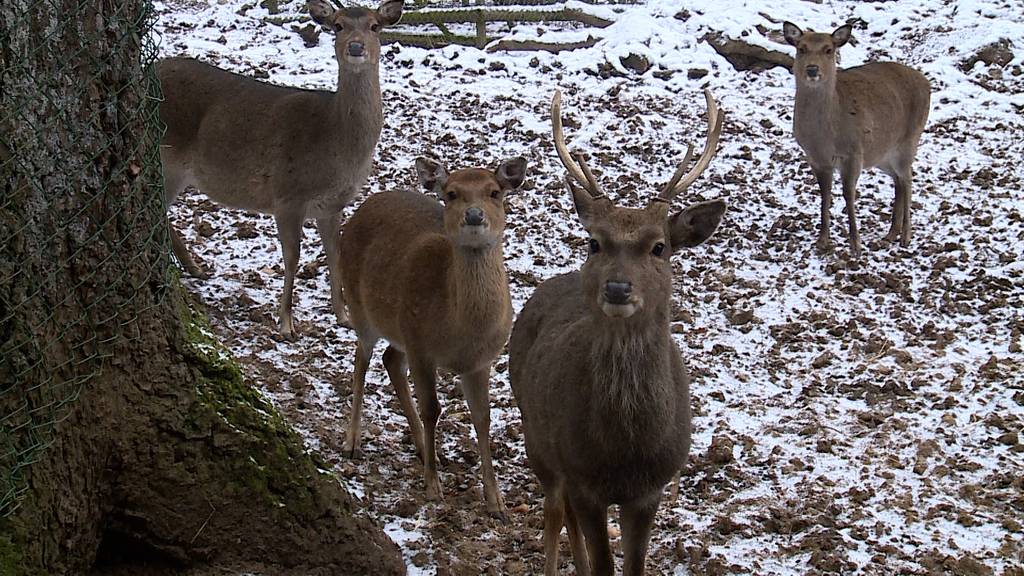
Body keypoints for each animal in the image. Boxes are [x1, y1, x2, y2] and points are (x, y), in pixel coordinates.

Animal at [157, 0, 405, 336]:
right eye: (338, 25)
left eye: (375, 26)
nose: (355, 47)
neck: (336, 140)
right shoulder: (288, 195)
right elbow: (292, 257)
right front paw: (286, 322)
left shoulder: (332, 204)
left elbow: (335, 255)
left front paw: (343, 316)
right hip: (166, 158)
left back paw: (196, 268)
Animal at [337, 153, 528, 516]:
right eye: (451, 193)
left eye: (495, 192)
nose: (474, 214)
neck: (459, 330)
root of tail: (363, 206)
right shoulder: (421, 347)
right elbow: (432, 409)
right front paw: (432, 486)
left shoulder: (480, 361)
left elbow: (483, 417)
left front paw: (496, 500)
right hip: (359, 304)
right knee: (361, 360)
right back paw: (352, 441)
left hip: (398, 328)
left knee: (390, 359)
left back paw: (424, 449)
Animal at [509, 87, 729, 569]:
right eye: (594, 242)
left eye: (659, 246)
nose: (616, 287)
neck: (623, 452)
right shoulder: (582, 477)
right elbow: (603, 563)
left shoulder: (650, 490)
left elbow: (633, 565)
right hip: (536, 434)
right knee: (553, 512)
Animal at [778, 21, 933, 256]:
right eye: (801, 48)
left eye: (828, 49)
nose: (812, 69)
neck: (825, 136)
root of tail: (927, 83)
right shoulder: (816, 158)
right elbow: (825, 194)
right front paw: (822, 240)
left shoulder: (853, 152)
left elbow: (848, 195)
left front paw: (855, 244)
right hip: (882, 154)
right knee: (898, 179)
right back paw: (890, 234)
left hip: (909, 139)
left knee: (908, 178)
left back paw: (906, 236)